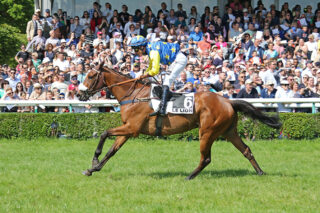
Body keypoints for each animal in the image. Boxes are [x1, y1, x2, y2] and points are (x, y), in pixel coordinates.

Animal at [79, 63, 282, 180]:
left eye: (90, 76)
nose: (80, 94)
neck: (134, 94)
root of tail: (228, 101)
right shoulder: (128, 130)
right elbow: (112, 151)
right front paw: (93, 169)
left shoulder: (132, 128)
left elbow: (104, 133)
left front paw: (94, 159)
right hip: (229, 131)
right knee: (246, 150)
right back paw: (260, 172)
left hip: (207, 131)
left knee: (206, 158)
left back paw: (189, 176)